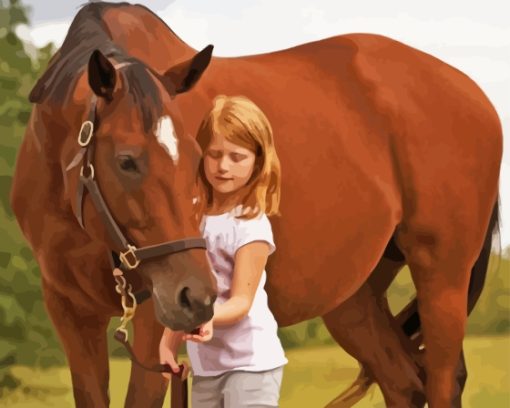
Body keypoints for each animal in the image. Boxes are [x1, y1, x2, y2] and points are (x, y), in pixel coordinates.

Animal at [11, 1, 502, 406]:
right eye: (126, 160)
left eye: (197, 156)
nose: (198, 296)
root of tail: (473, 93)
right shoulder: (71, 314)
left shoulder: (153, 318)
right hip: (354, 298)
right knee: (404, 382)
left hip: (442, 277)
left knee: (442, 380)